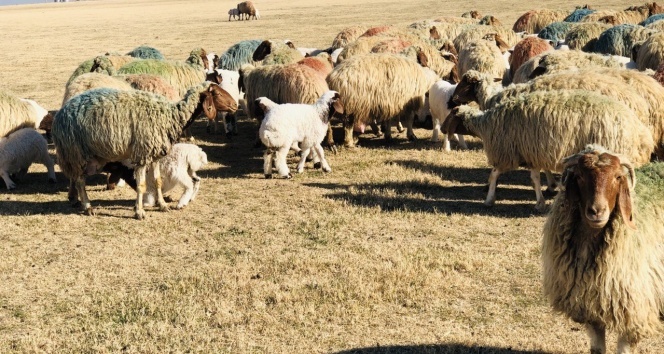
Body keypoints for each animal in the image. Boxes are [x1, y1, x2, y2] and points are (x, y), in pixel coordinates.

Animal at [52, 84, 239, 220]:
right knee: (80, 181)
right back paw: (87, 206)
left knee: (76, 178)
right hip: (76, 152)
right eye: (218, 94)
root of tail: (60, 115)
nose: (235, 105)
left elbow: (157, 181)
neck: (171, 116)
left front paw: (163, 205)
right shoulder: (142, 154)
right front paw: (139, 212)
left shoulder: (154, 155)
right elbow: (141, 185)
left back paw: (75, 200)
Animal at [444, 90, 656, 212]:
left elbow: (494, 174)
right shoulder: (531, 153)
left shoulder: (509, 152)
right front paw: (541, 200)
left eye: (452, 115)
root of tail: (640, 132)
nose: (443, 129)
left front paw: (489, 199)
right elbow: (535, 178)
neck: (487, 125)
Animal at [544, 145, 664, 354]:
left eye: (617, 177)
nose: (597, 212)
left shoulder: (632, 312)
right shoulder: (591, 306)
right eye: (579, 176)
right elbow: (597, 349)